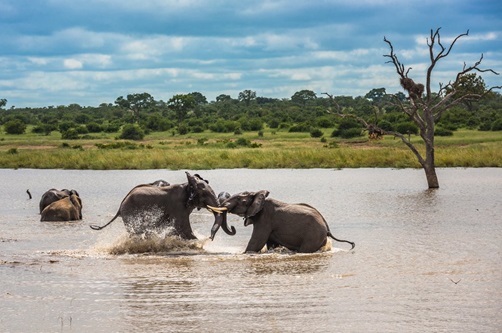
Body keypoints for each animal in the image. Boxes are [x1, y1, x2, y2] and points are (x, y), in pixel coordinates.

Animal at [89, 171, 236, 239]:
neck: (187, 186)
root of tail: (120, 207)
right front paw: (199, 242)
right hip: (130, 212)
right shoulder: (177, 207)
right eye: (204, 194)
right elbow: (183, 228)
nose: (209, 238)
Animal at [210, 189, 354, 252]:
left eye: (242, 200)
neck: (259, 195)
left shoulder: (265, 218)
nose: (233, 227)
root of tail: (327, 227)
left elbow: (256, 242)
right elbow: (270, 243)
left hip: (314, 235)